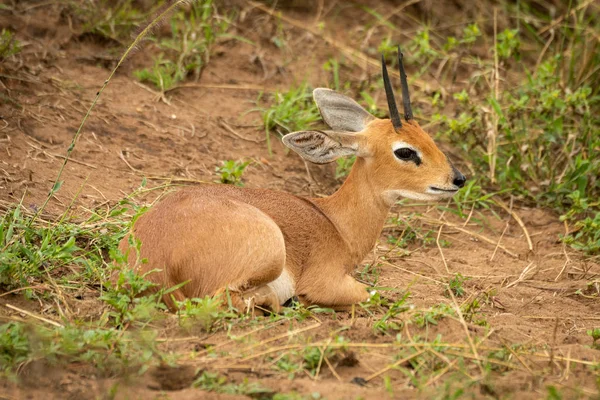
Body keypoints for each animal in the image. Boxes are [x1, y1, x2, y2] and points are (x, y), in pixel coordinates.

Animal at [119, 48, 466, 312]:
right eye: (405, 151)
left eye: (427, 136)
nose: (458, 179)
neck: (336, 224)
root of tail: (154, 260)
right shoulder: (328, 282)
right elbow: (374, 294)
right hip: (268, 254)